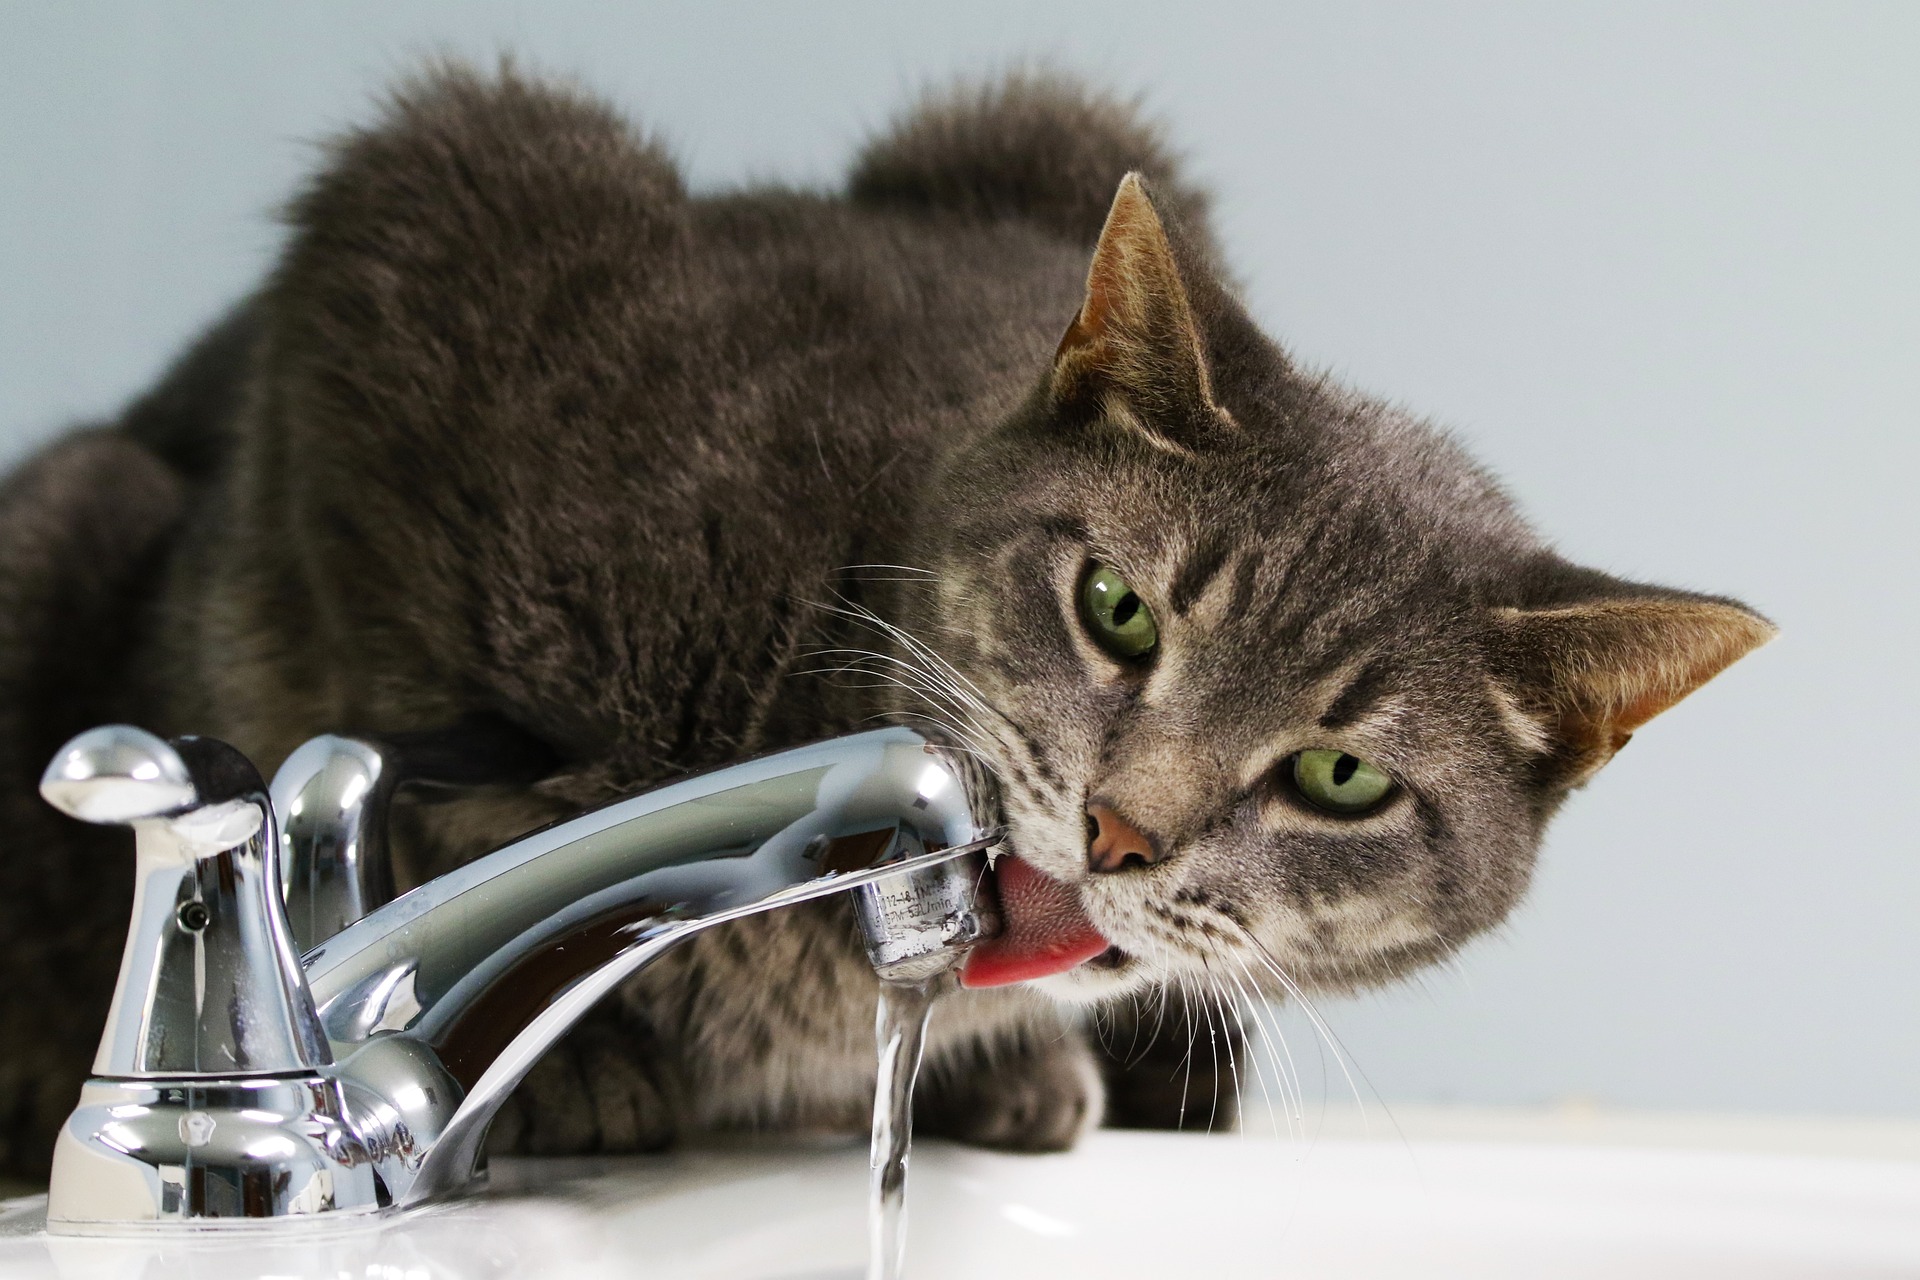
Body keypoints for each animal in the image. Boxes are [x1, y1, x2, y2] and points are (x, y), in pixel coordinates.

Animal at [0, 65, 1766, 1174]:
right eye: (1118, 612)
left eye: (1342, 780)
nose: (1123, 832)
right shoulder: (427, 225)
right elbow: (366, 779)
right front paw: (557, 1064)